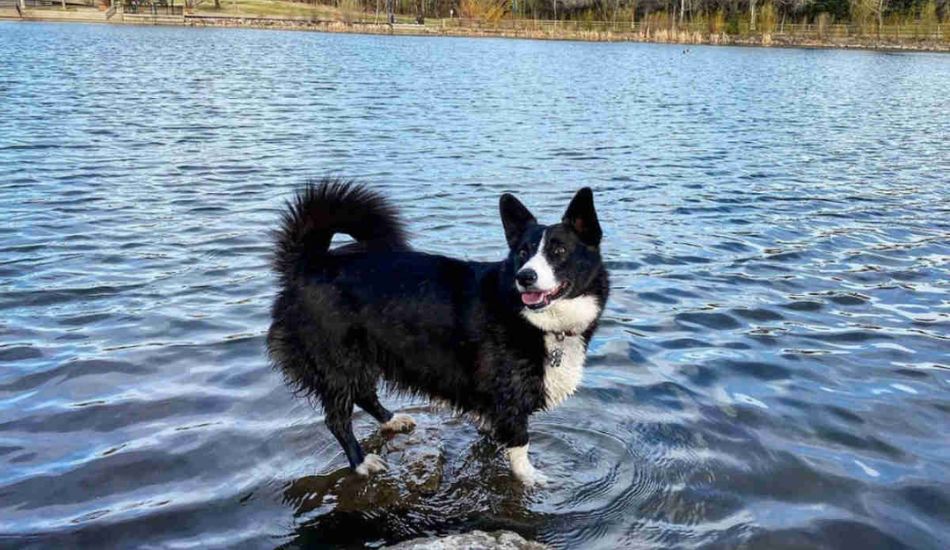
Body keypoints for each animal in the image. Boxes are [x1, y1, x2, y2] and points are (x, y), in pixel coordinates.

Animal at [268, 181, 608, 488]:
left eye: (559, 251)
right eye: (522, 252)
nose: (525, 277)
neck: (541, 323)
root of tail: (309, 263)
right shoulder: (509, 395)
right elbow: (520, 440)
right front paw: (529, 476)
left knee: (364, 393)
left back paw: (391, 420)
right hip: (338, 359)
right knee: (338, 417)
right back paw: (362, 462)